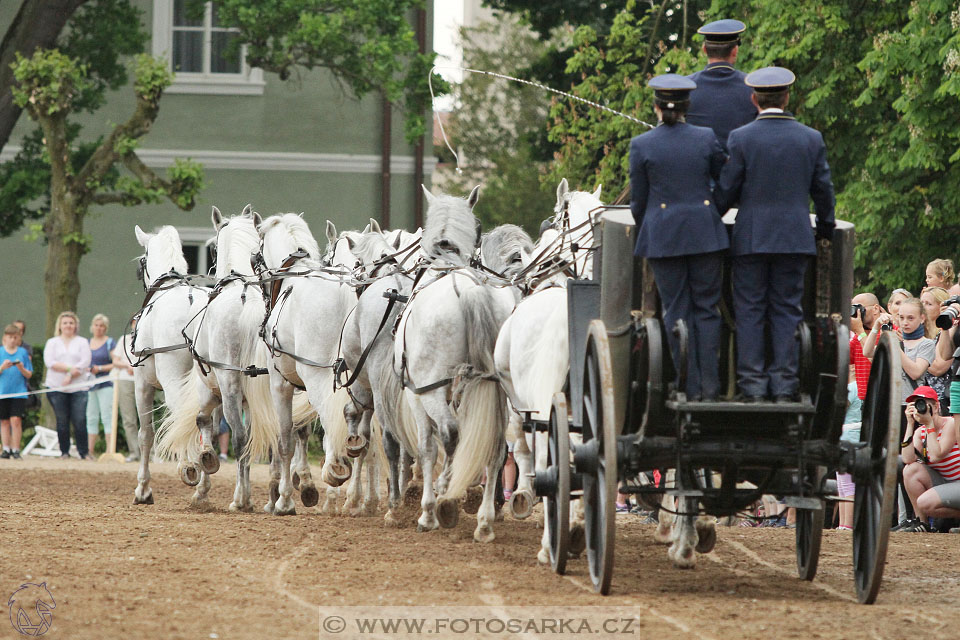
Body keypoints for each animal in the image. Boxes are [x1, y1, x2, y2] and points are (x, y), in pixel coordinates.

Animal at [130, 225, 209, 504]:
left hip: (174, 381)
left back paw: (190, 467)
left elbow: (146, 435)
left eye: (142, 261)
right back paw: (202, 486)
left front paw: (143, 489)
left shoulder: (142, 385)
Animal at [152, 205, 276, 510]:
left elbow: (204, 423)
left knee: (239, 439)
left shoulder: (210, 388)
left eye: (212, 248)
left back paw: (241, 500)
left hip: (229, 386)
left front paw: (204, 469)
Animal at [394, 188, 520, 544]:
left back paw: (440, 503)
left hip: (431, 389)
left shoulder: (418, 393)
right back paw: (484, 522)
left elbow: (428, 446)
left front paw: (431, 505)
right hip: (499, 391)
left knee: (449, 435)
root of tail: (471, 291)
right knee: (496, 449)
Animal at [496, 178, 600, 564]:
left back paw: (551, 543)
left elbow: (521, 445)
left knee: (551, 461)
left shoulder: (516, 398)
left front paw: (524, 496)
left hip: (546, 408)